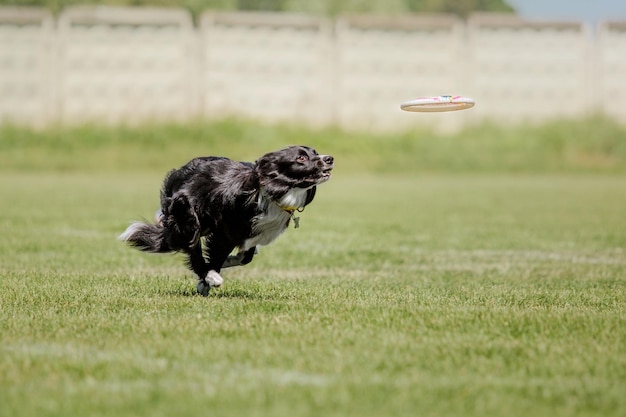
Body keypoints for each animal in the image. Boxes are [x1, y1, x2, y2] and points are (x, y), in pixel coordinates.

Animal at [117, 146, 332, 296]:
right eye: (301, 158)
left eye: (315, 152)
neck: (271, 192)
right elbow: (217, 255)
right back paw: (208, 276)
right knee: (192, 248)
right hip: (188, 218)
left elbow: (245, 257)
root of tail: (181, 170)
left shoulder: (249, 233)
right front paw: (209, 276)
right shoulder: (225, 231)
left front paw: (227, 262)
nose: (329, 158)